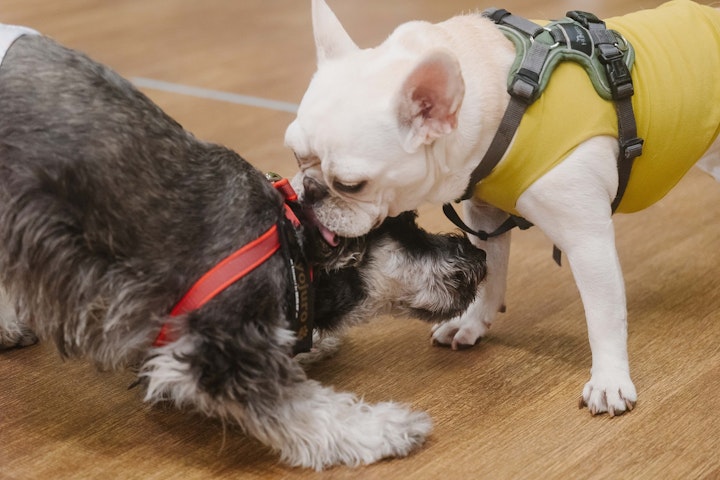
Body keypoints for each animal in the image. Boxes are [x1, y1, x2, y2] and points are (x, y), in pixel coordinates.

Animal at [0, 26, 490, 468]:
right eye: (407, 226)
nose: (479, 256)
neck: (292, 245)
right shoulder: (221, 349)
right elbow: (303, 409)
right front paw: (385, 428)